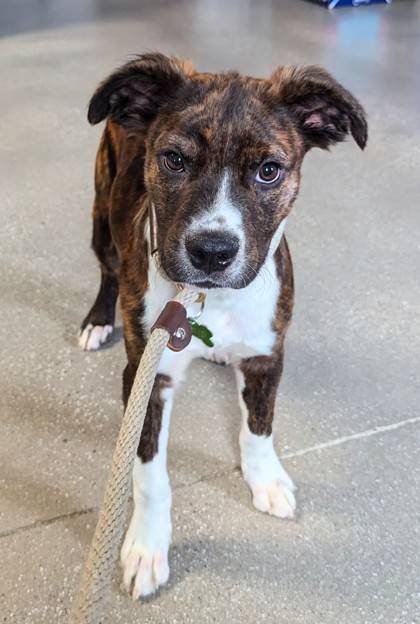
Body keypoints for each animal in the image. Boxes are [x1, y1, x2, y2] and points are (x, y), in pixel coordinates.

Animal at [79, 54, 368, 600]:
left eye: (269, 171)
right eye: (173, 160)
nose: (212, 252)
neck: (210, 300)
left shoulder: (266, 357)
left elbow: (259, 425)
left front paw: (265, 479)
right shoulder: (147, 377)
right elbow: (150, 472)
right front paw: (146, 547)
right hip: (103, 212)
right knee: (107, 269)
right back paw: (97, 320)